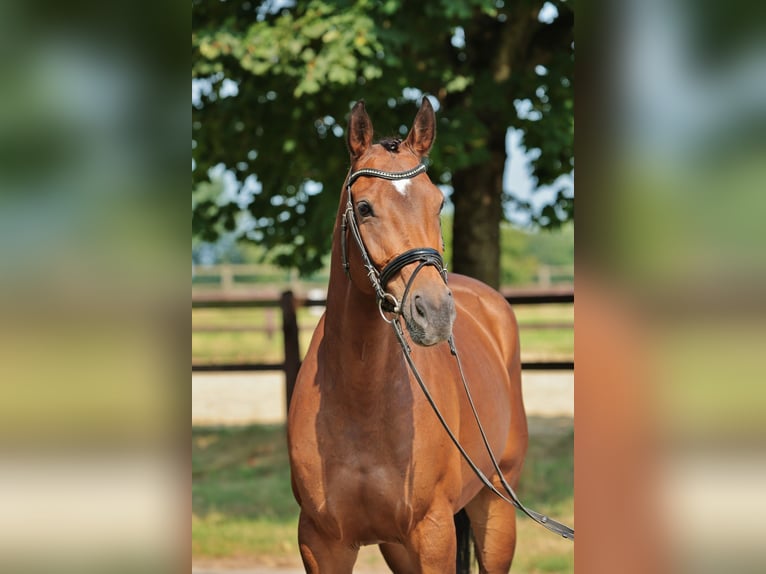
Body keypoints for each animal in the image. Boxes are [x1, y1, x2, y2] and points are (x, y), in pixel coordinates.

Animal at [290, 100, 536, 574]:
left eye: (438, 203)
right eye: (364, 208)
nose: (435, 312)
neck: (361, 400)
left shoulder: (433, 533)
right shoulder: (321, 543)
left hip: (497, 508)